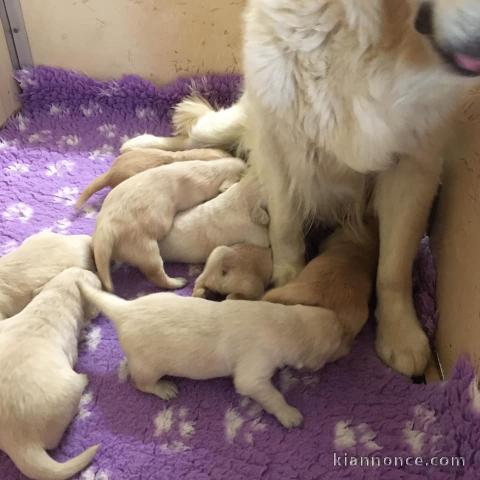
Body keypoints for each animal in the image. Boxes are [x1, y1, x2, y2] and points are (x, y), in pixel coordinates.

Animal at [79, 282, 342, 428]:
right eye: (335, 347)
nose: (346, 347)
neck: (283, 323)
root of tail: (125, 310)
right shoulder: (254, 371)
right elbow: (269, 393)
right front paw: (289, 413)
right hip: (148, 366)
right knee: (140, 383)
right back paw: (163, 388)